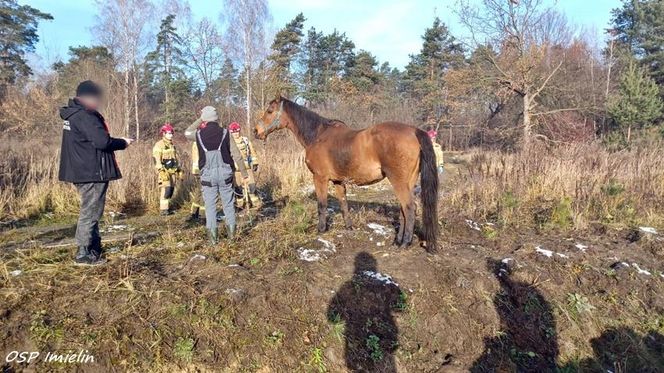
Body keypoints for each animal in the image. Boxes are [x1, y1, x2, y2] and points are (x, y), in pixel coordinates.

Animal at [255, 96, 440, 253]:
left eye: (270, 111)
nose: (256, 131)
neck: (318, 135)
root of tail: (414, 131)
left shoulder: (319, 178)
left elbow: (322, 205)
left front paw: (321, 230)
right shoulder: (338, 181)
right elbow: (343, 203)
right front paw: (349, 227)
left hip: (398, 181)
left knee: (409, 208)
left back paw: (405, 243)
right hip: (409, 181)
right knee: (403, 210)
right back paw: (398, 240)